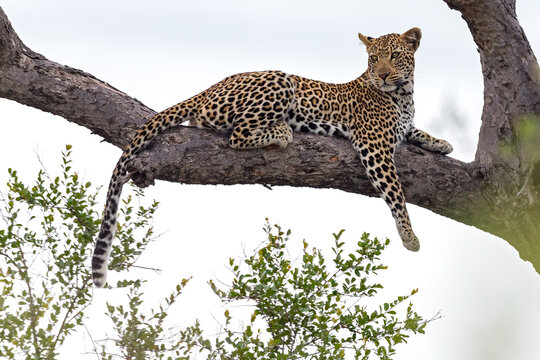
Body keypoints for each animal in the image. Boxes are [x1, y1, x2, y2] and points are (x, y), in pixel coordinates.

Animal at [92, 27, 452, 286]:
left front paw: (442, 143)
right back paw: (281, 132)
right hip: (279, 80)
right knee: (237, 133)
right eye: (373, 59)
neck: (403, 94)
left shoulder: (401, 129)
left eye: (394, 55)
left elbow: (416, 132)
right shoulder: (374, 146)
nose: (382, 75)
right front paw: (409, 236)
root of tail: (210, 87)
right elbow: (396, 194)